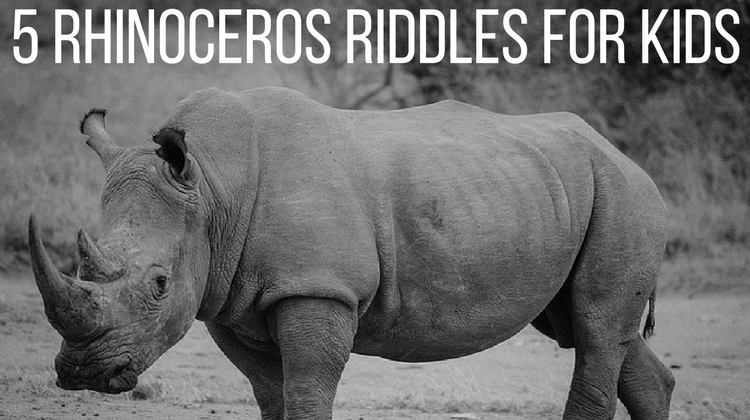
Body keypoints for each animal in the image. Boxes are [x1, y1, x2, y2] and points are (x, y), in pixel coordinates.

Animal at [29, 87, 674, 419]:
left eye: (160, 284)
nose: (84, 374)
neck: (212, 186)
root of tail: (622, 153)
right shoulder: (230, 301)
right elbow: (272, 394)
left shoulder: (319, 287)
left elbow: (307, 391)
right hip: (563, 190)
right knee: (589, 328)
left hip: (625, 196)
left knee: (594, 327)